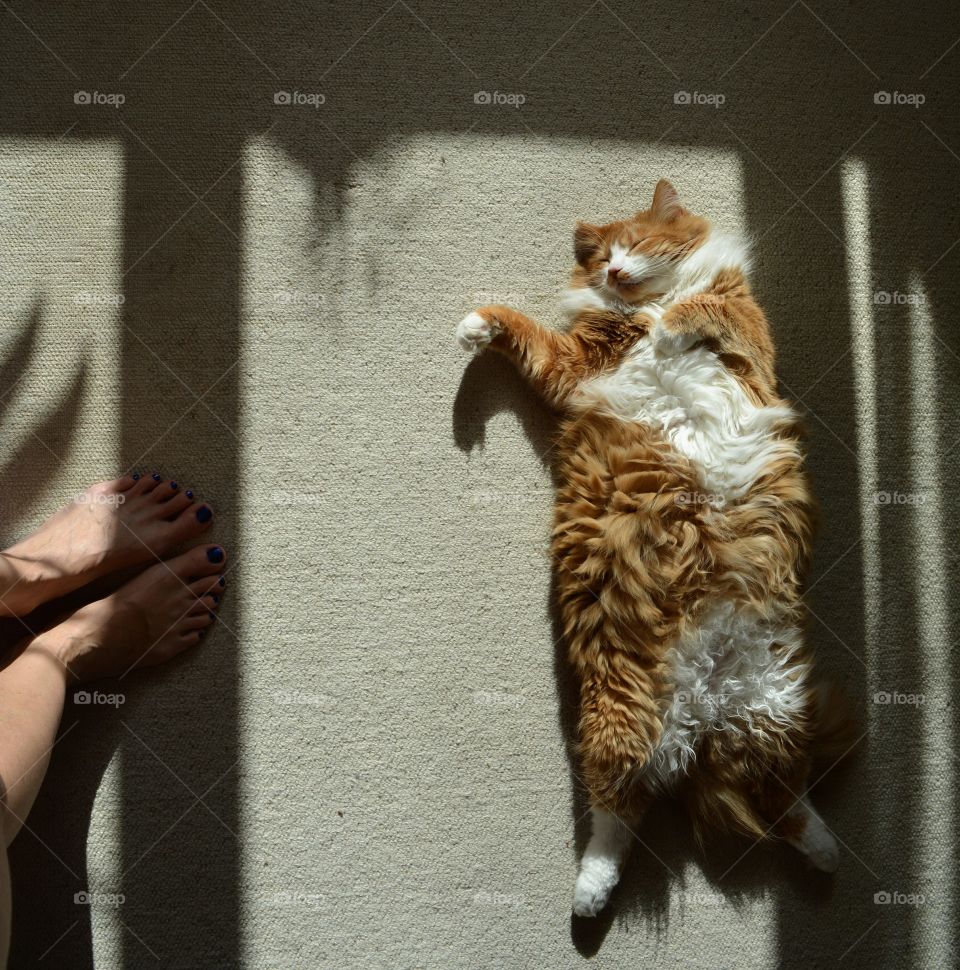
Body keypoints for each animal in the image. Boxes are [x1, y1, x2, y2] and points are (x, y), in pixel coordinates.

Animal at [456, 180, 848, 916]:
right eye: (602, 256)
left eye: (634, 244)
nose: (613, 271)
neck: (644, 306)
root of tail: (704, 709)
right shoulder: (574, 366)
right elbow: (519, 328)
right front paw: (474, 325)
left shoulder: (748, 332)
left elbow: (706, 308)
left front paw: (673, 324)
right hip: (624, 714)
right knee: (621, 816)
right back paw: (589, 895)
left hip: (773, 701)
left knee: (784, 796)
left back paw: (828, 851)